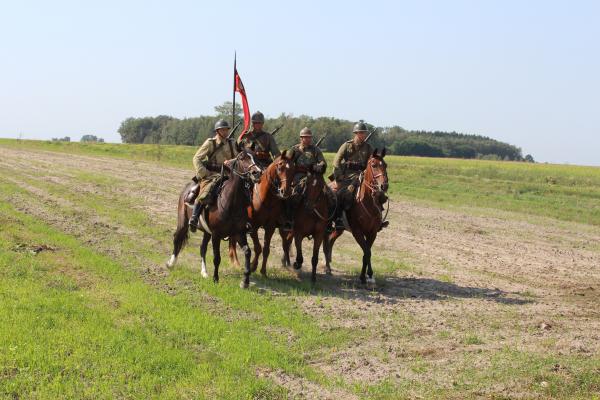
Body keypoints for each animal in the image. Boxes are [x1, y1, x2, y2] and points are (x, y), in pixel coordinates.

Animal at [169, 149, 262, 288]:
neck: (231, 202)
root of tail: (187, 187)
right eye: (242, 158)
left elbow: (247, 252)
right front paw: (216, 279)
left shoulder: (239, 233)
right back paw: (170, 264)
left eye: (255, 157)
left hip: (207, 232)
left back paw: (204, 272)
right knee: (177, 239)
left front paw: (245, 281)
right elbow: (217, 257)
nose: (257, 172)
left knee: (202, 248)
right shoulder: (216, 235)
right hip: (183, 222)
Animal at [324, 149, 390, 284]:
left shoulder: (372, 233)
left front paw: (365, 276)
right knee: (326, 241)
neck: (367, 202)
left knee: (331, 240)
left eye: (385, 165)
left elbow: (367, 252)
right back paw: (327, 267)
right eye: (374, 165)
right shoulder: (357, 232)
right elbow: (367, 252)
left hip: (339, 229)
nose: (384, 186)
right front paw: (367, 275)